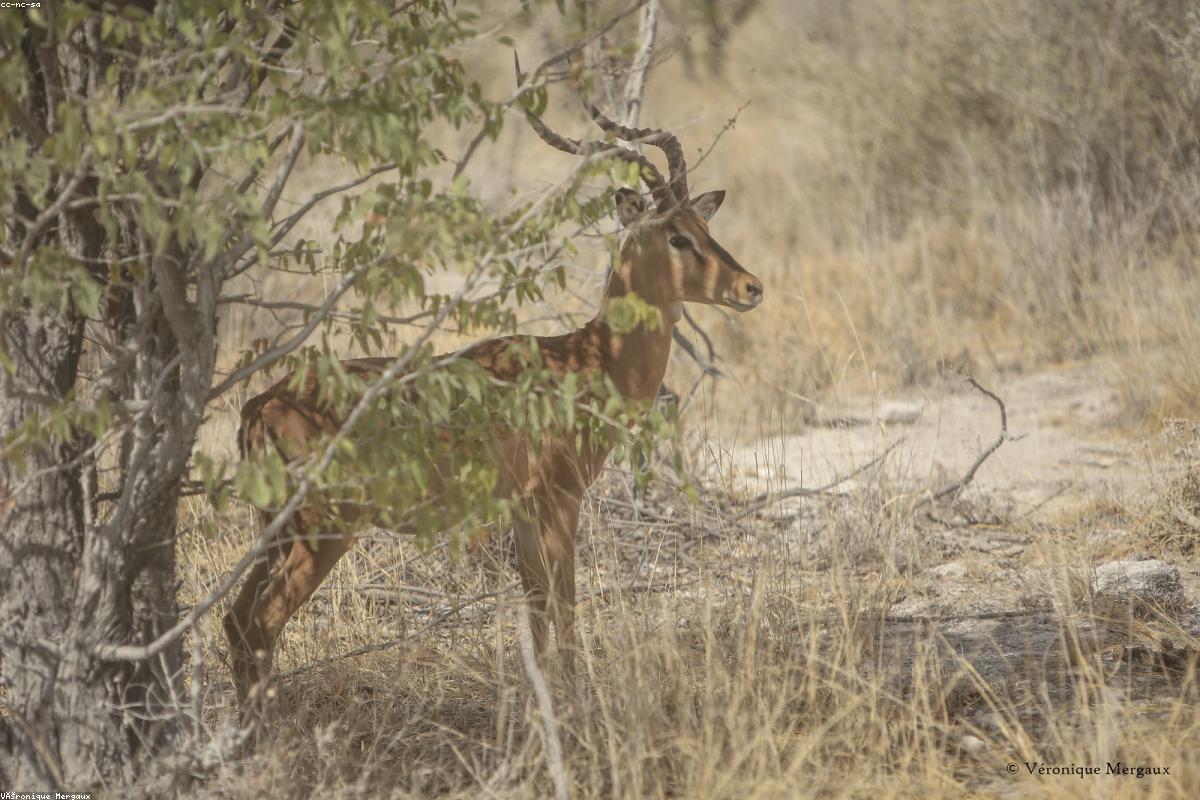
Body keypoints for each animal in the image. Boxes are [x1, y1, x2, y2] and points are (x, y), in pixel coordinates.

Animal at [223, 77, 764, 711]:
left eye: (707, 230)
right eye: (676, 236)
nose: (751, 287)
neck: (590, 359)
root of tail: (261, 405)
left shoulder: (523, 513)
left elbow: (537, 612)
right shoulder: (560, 501)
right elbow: (564, 608)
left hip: (275, 533)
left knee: (235, 621)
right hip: (321, 532)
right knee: (260, 623)